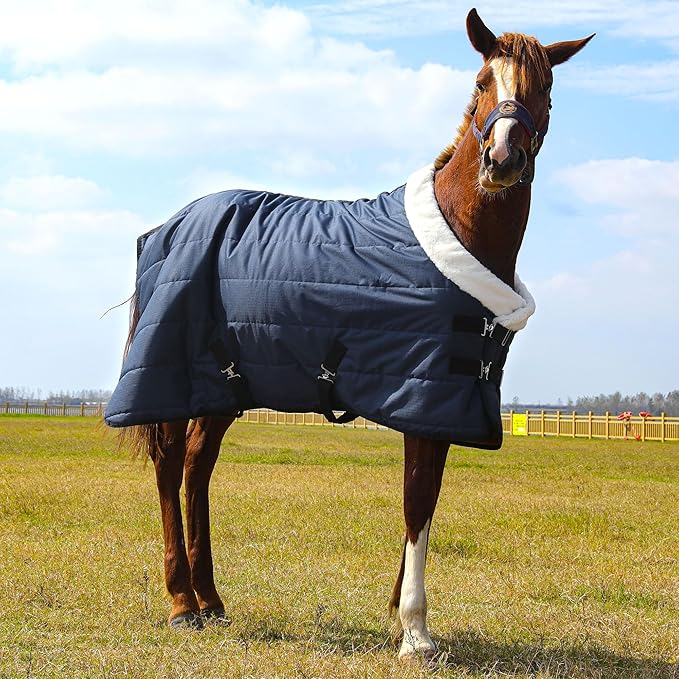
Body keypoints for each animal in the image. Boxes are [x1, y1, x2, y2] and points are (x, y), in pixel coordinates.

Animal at [107, 8, 593, 661]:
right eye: (481, 83)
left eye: (545, 89)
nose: (502, 159)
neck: (457, 235)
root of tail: (169, 225)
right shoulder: (424, 395)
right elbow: (417, 502)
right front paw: (414, 631)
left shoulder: (447, 402)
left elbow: (428, 503)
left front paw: (403, 617)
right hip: (170, 375)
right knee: (167, 468)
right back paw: (182, 603)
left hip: (222, 387)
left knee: (196, 469)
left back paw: (211, 601)